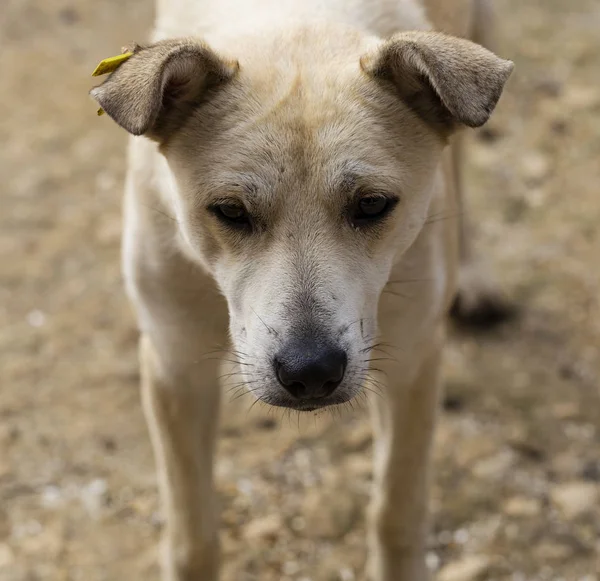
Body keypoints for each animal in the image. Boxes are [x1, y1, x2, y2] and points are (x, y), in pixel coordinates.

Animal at [91, 0, 512, 576]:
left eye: (373, 204)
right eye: (230, 211)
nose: (310, 372)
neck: (295, 25)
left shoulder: (412, 360)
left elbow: (396, 513)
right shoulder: (173, 365)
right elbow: (192, 535)